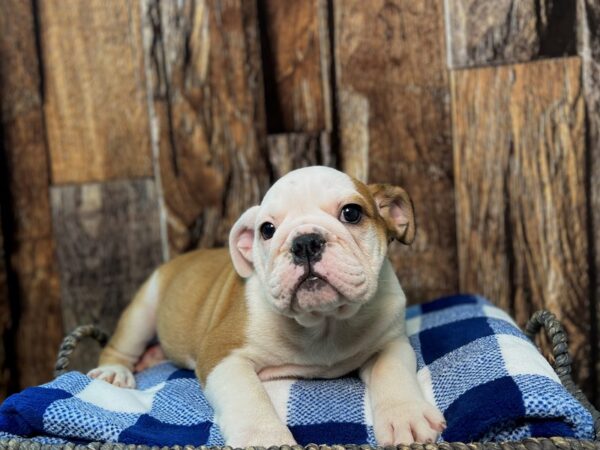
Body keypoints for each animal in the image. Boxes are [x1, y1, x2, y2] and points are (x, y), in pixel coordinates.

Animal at [89, 166, 446, 446]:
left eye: (351, 213)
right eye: (267, 230)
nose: (305, 242)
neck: (324, 322)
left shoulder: (391, 342)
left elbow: (392, 370)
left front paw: (405, 415)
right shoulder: (223, 355)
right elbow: (248, 397)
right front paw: (264, 438)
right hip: (143, 309)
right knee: (121, 345)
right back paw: (114, 372)